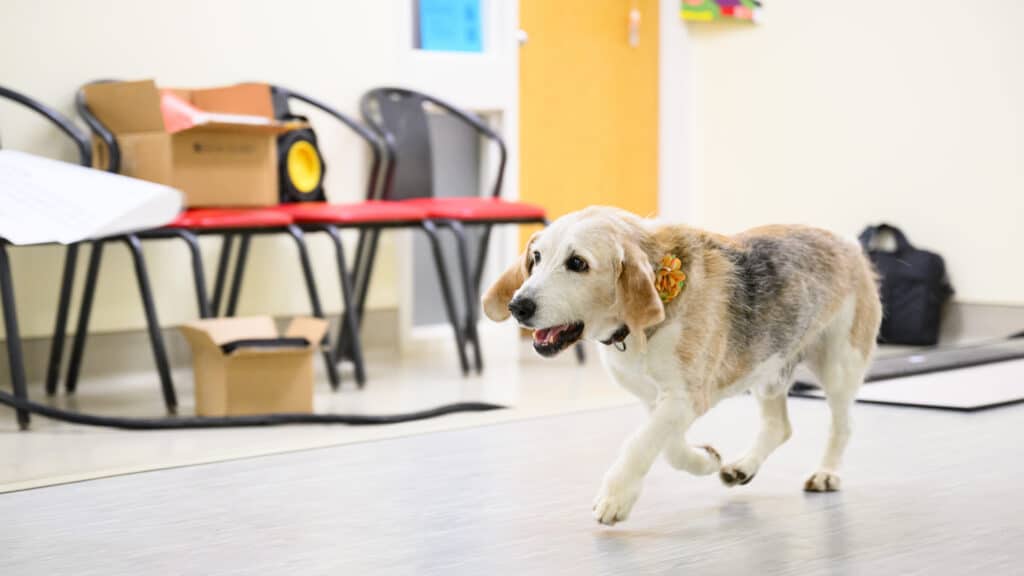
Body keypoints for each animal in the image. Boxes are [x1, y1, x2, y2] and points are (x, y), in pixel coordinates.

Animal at [479, 206, 880, 524]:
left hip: (839, 365)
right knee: (778, 427)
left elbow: (639, 444)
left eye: (577, 263)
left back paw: (826, 474)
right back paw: (743, 467)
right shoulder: (657, 400)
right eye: (536, 258)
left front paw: (615, 497)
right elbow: (668, 448)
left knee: (842, 425)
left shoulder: (685, 398)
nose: (518, 306)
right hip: (768, 367)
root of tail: (848, 243)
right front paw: (705, 460)